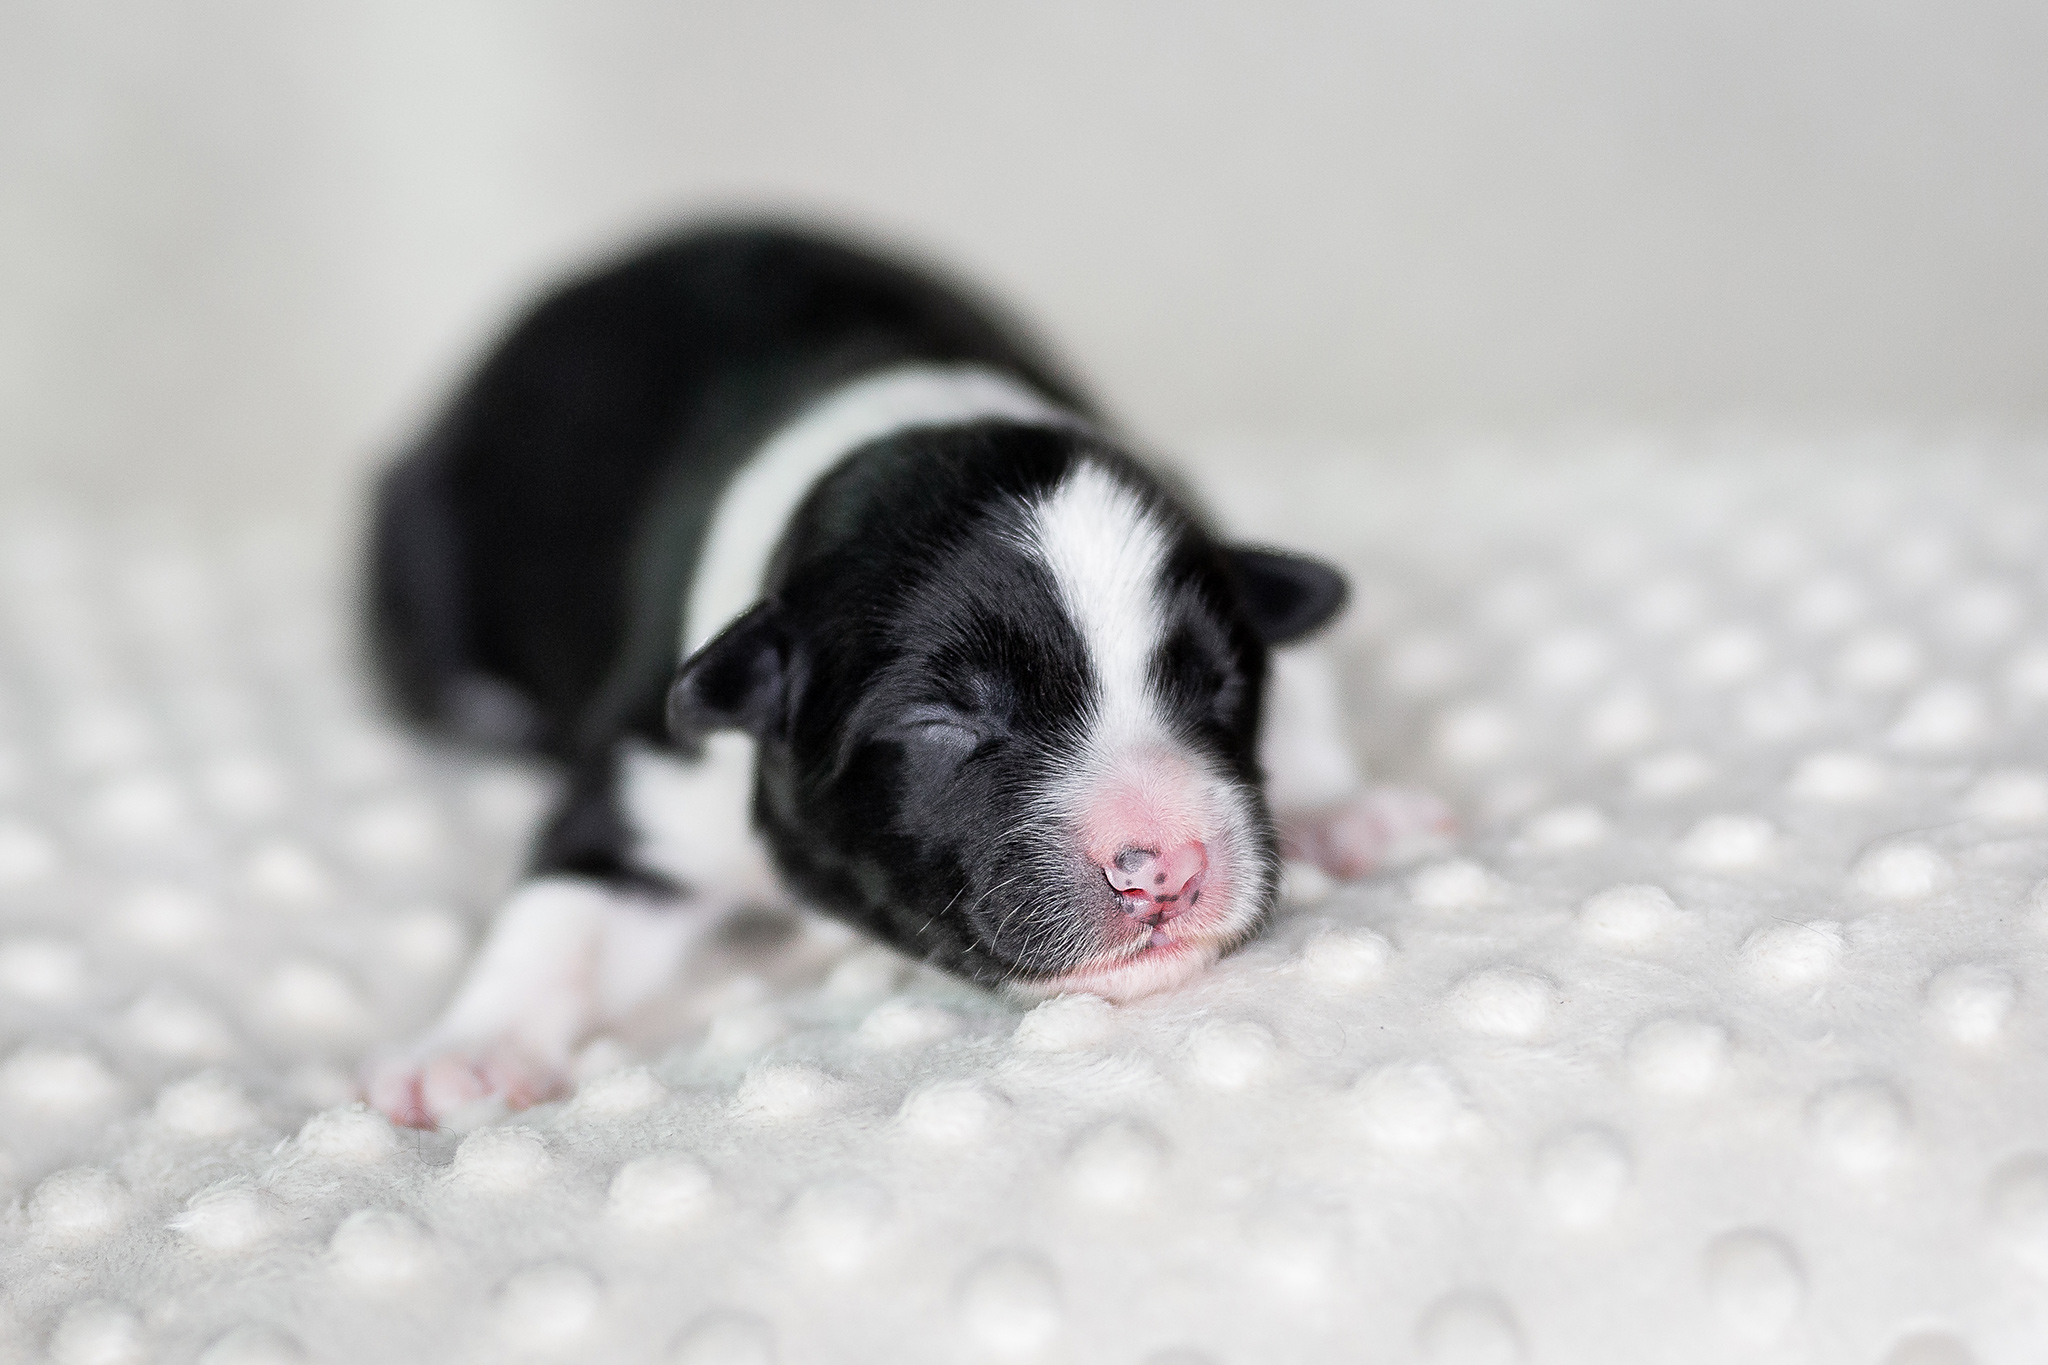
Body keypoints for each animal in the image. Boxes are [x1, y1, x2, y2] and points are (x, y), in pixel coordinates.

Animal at [360, 218, 1449, 1129]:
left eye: (1215, 686)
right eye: (943, 726)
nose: (1165, 870)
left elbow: (1307, 689)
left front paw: (1343, 807)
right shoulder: (656, 767)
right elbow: (564, 902)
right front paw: (467, 1051)